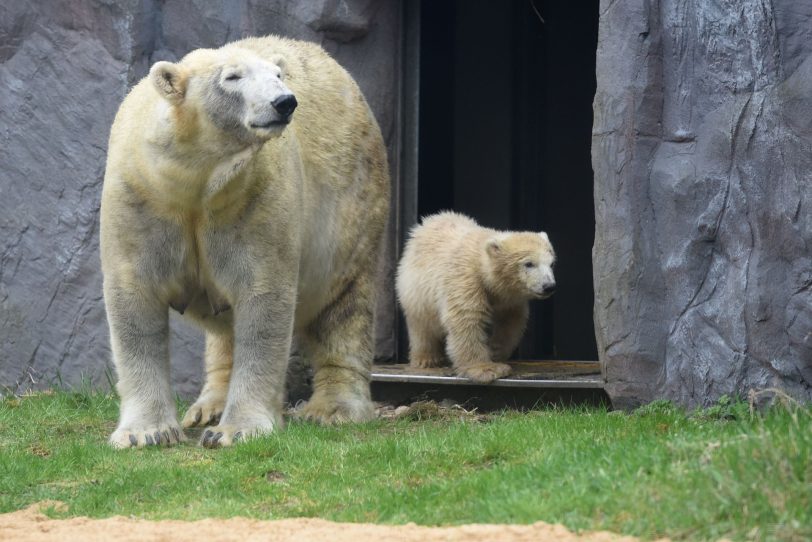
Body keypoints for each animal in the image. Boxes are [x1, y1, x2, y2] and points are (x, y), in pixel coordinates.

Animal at [100, 35, 392, 450]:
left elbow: (263, 300)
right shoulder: (144, 194)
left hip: (354, 201)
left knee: (344, 303)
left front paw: (237, 430)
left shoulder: (253, 196)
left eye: (278, 74)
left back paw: (334, 408)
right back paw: (209, 406)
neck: (197, 179)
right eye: (232, 77)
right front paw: (148, 432)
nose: (284, 102)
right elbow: (135, 299)